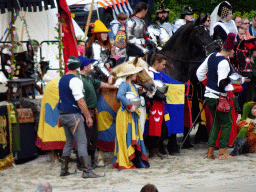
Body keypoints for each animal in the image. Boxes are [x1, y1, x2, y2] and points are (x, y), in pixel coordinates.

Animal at [160, 15, 222, 150]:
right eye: (200, 32)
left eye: (208, 31)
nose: (214, 49)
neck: (173, 63)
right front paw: (172, 146)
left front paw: (174, 144)